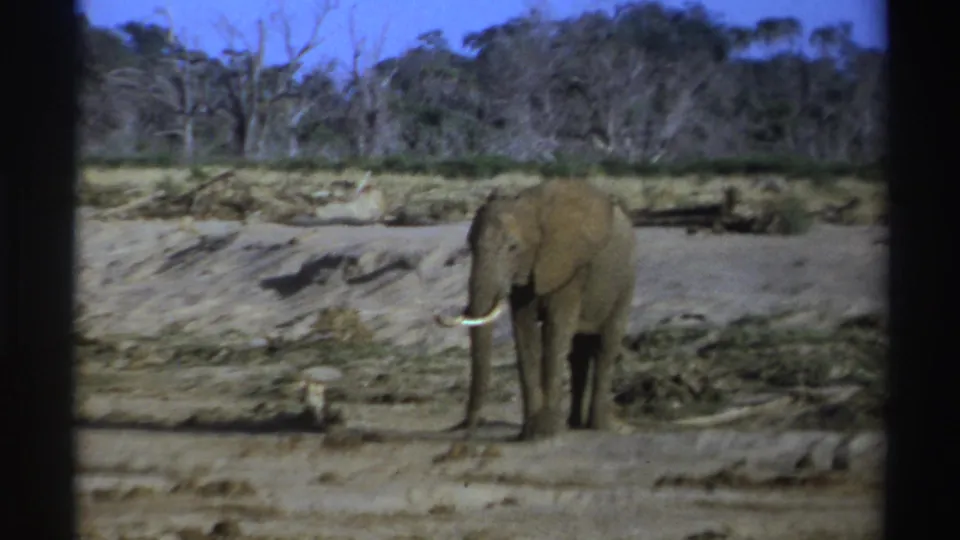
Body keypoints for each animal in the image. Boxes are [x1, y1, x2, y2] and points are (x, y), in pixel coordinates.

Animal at [435, 179, 637, 441]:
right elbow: (524, 331)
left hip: (625, 282)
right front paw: (530, 433)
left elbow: (555, 330)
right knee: (578, 354)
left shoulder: (568, 267)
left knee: (606, 345)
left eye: (513, 247)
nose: (465, 428)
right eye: (470, 246)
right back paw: (573, 424)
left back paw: (598, 427)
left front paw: (546, 432)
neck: (530, 206)